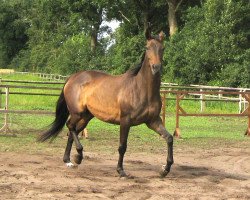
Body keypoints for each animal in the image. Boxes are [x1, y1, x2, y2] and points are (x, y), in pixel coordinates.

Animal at [38, 28, 174, 177]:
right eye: (147, 47)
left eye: (162, 48)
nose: (156, 67)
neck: (141, 89)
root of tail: (73, 77)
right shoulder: (125, 121)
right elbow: (122, 146)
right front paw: (121, 171)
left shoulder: (153, 121)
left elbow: (169, 138)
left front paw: (165, 169)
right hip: (77, 113)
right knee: (70, 126)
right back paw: (78, 156)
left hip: (86, 116)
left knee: (72, 131)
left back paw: (69, 160)